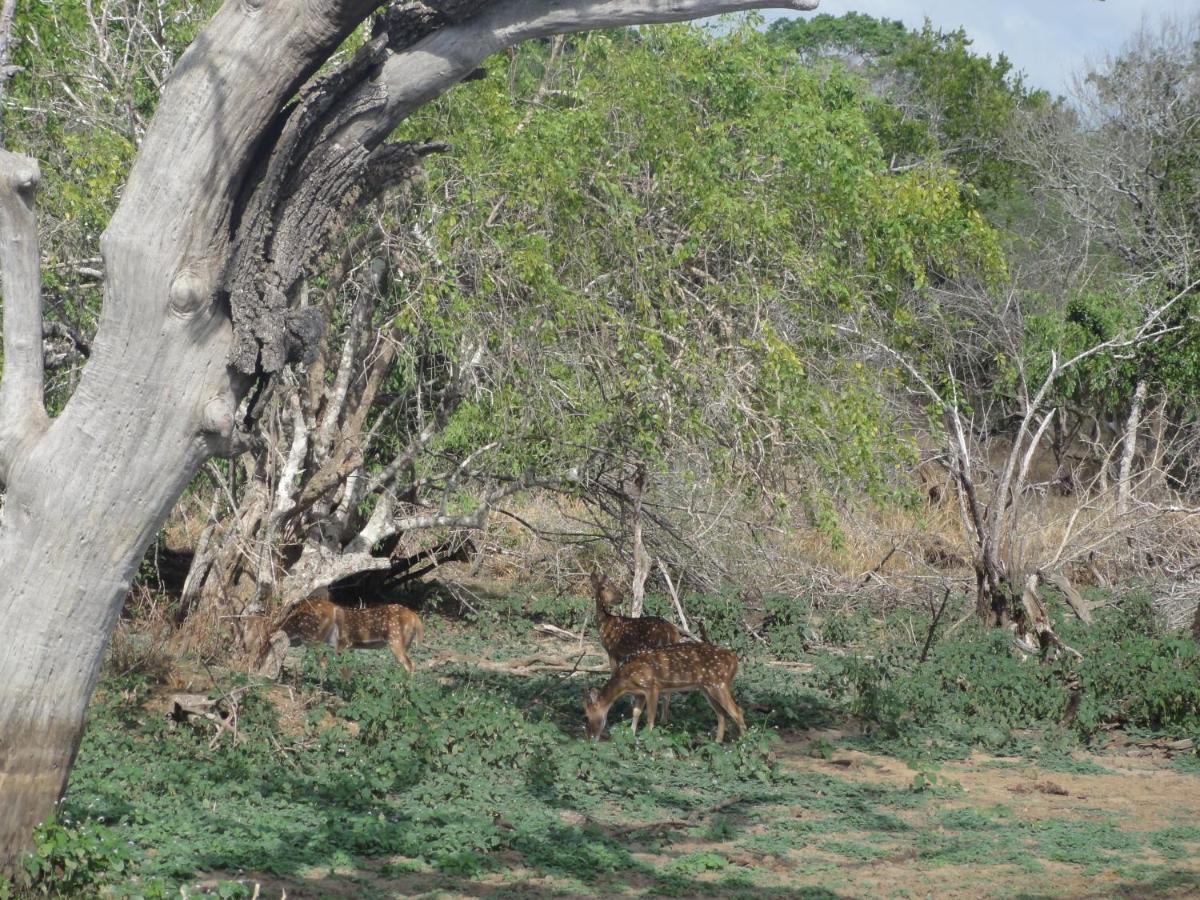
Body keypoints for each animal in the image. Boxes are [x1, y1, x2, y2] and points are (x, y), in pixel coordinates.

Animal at [265, 592, 424, 676]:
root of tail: (415, 618)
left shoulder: (340, 643)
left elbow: (335, 667)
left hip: (395, 640)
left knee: (410, 664)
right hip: (406, 642)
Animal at [578, 643, 739, 744]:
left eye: (586, 716)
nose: (589, 739)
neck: (627, 680)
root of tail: (735, 659)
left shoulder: (652, 686)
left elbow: (650, 718)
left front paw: (647, 738)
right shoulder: (639, 693)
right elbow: (636, 712)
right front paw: (631, 734)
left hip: (719, 683)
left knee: (737, 712)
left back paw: (742, 741)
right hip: (707, 688)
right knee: (722, 714)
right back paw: (718, 741)